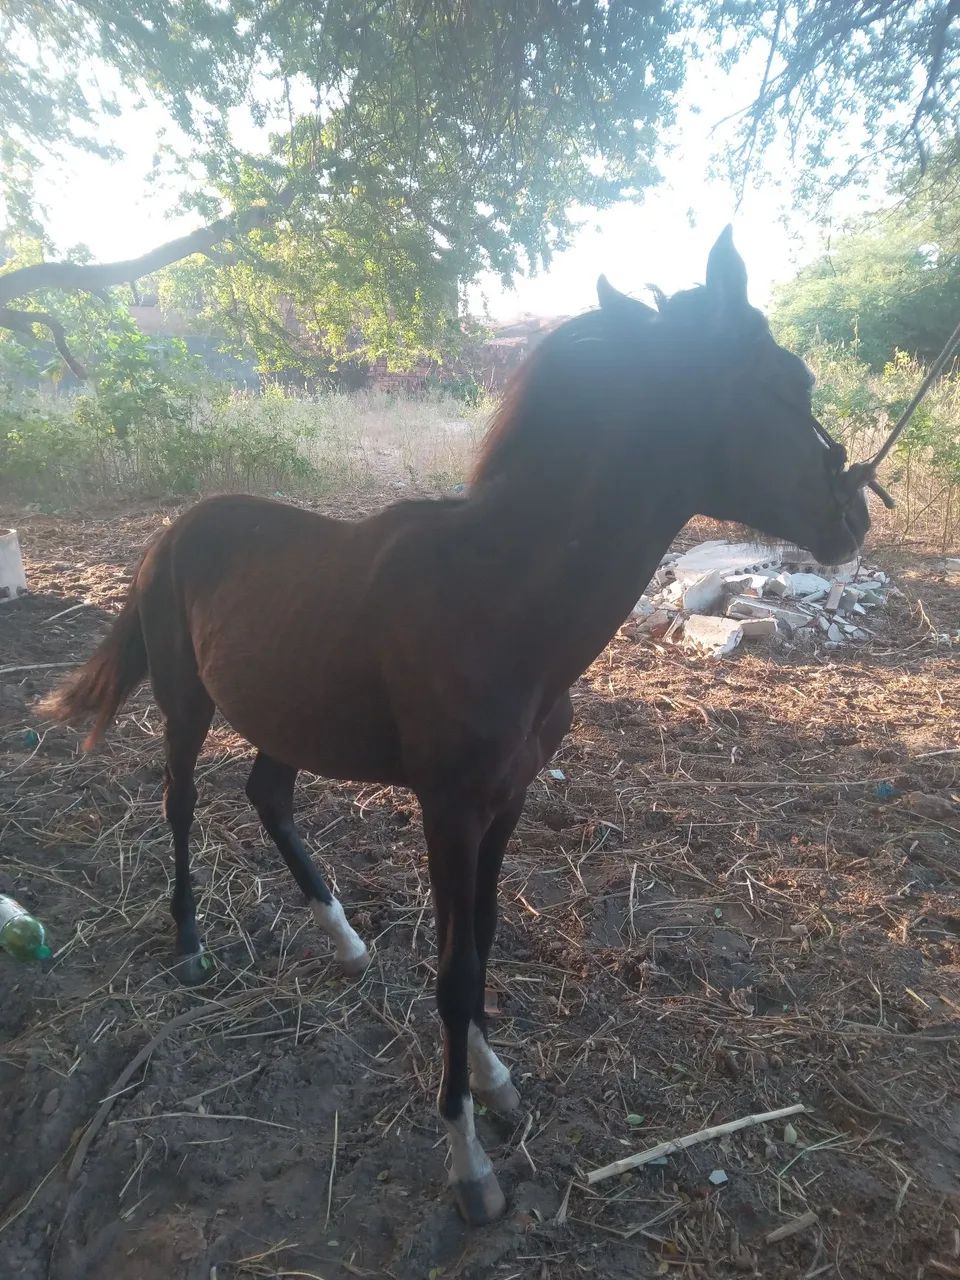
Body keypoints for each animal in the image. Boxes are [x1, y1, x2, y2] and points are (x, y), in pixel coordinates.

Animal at [40, 228, 870, 1226]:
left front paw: (497, 1082)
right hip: (186, 705)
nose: (854, 515)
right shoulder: (449, 809)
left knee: (268, 795)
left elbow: (480, 940)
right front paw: (467, 1160)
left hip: (285, 711)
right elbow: (455, 970)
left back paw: (347, 943)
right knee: (181, 804)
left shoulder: (504, 804)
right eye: (788, 381)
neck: (501, 598)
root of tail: (173, 529)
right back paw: (193, 945)